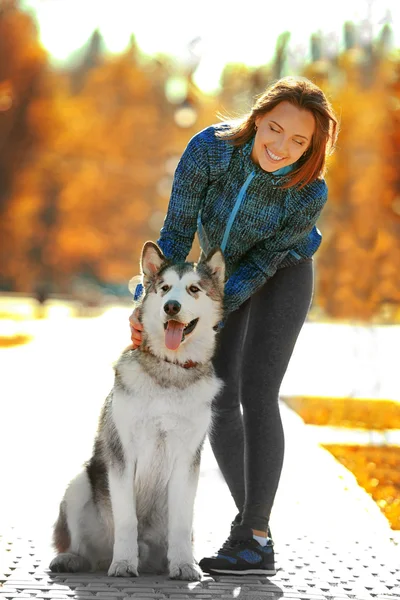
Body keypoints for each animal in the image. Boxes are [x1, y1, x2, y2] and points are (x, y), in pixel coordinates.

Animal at [49, 240, 225, 580]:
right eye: (165, 288)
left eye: (193, 289)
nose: (171, 306)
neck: (170, 370)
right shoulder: (123, 454)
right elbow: (127, 520)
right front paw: (123, 563)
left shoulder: (187, 458)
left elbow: (181, 523)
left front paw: (184, 565)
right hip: (80, 484)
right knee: (84, 548)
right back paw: (74, 559)